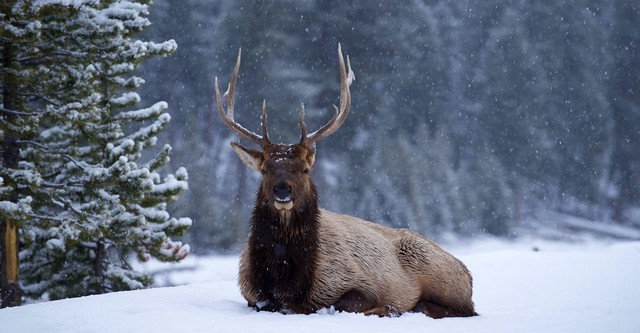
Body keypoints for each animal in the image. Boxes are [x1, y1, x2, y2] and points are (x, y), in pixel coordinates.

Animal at [215, 44, 476, 316]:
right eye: (265, 169)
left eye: (305, 169)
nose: (282, 190)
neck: (286, 282)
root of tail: (468, 276)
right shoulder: (251, 292)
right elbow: (261, 303)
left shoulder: (354, 281)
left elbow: (346, 304)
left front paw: (388, 307)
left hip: (436, 272)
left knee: (455, 309)